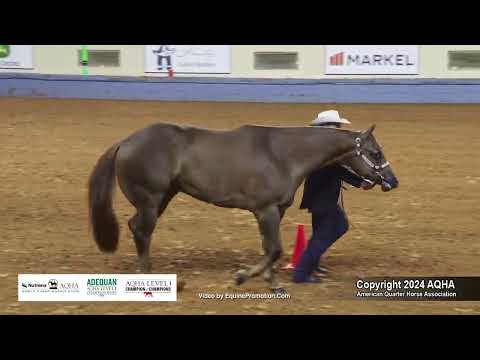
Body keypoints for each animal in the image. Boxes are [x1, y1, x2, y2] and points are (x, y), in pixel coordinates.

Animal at [87, 121, 398, 292]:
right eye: (375, 152)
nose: (392, 181)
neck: (283, 155)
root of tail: (126, 142)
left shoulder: (276, 211)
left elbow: (269, 248)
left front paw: (272, 282)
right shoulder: (265, 209)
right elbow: (274, 250)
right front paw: (241, 277)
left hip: (162, 197)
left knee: (136, 227)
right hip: (151, 199)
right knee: (141, 230)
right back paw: (148, 275)